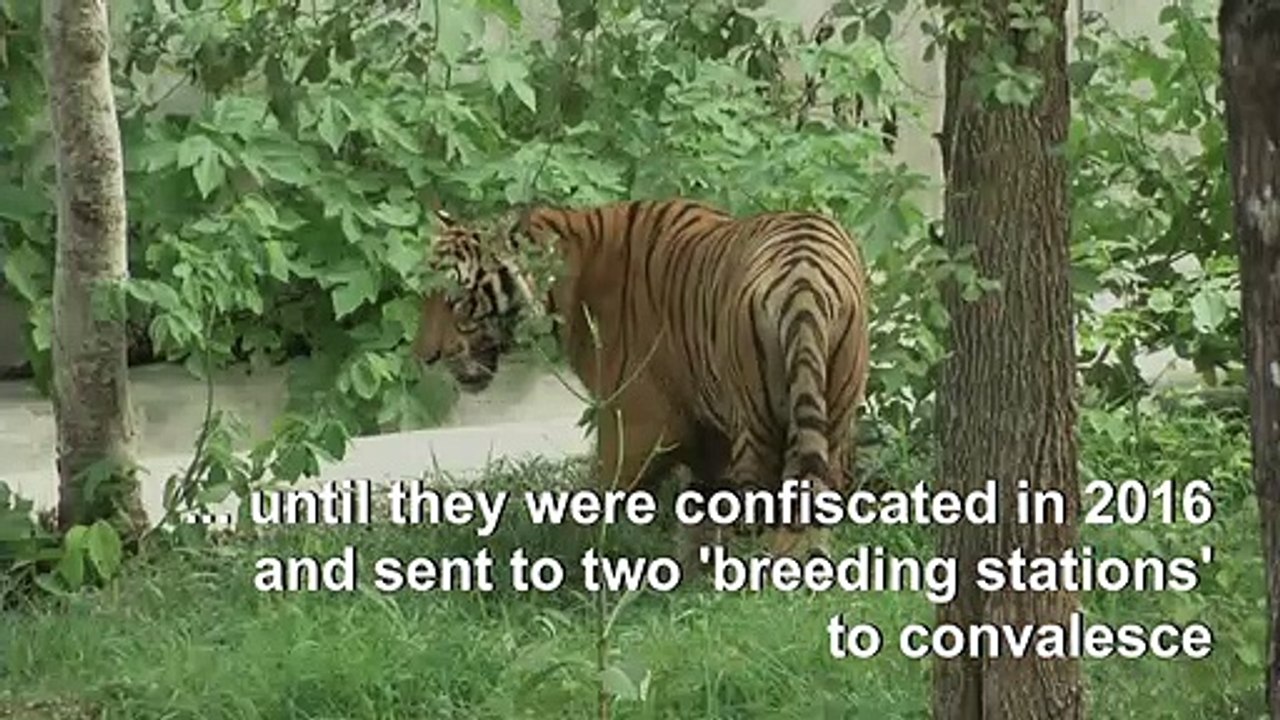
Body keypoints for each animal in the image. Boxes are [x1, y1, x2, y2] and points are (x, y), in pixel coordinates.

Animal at [413, 198, 872, 567]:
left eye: (457, 300)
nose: (425, 356)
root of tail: (804, 281)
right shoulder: (706, 426)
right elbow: (701, 511)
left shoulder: (637, 423)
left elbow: (592, 499)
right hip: (832, 414)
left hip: (758, 422)